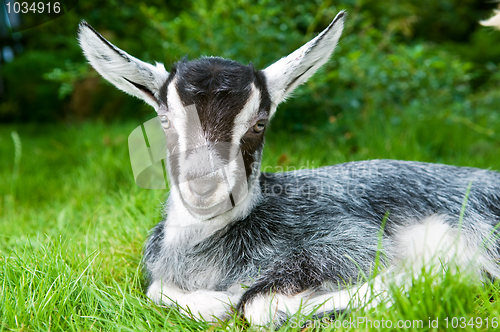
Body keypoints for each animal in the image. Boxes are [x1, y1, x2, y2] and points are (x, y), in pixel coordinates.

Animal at [77, 11, 500, 326]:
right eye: (164, 120)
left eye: (259, 123)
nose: (205, 185)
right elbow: (159, 291)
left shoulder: (348, 239)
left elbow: (256, 305)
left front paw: (421, 280)